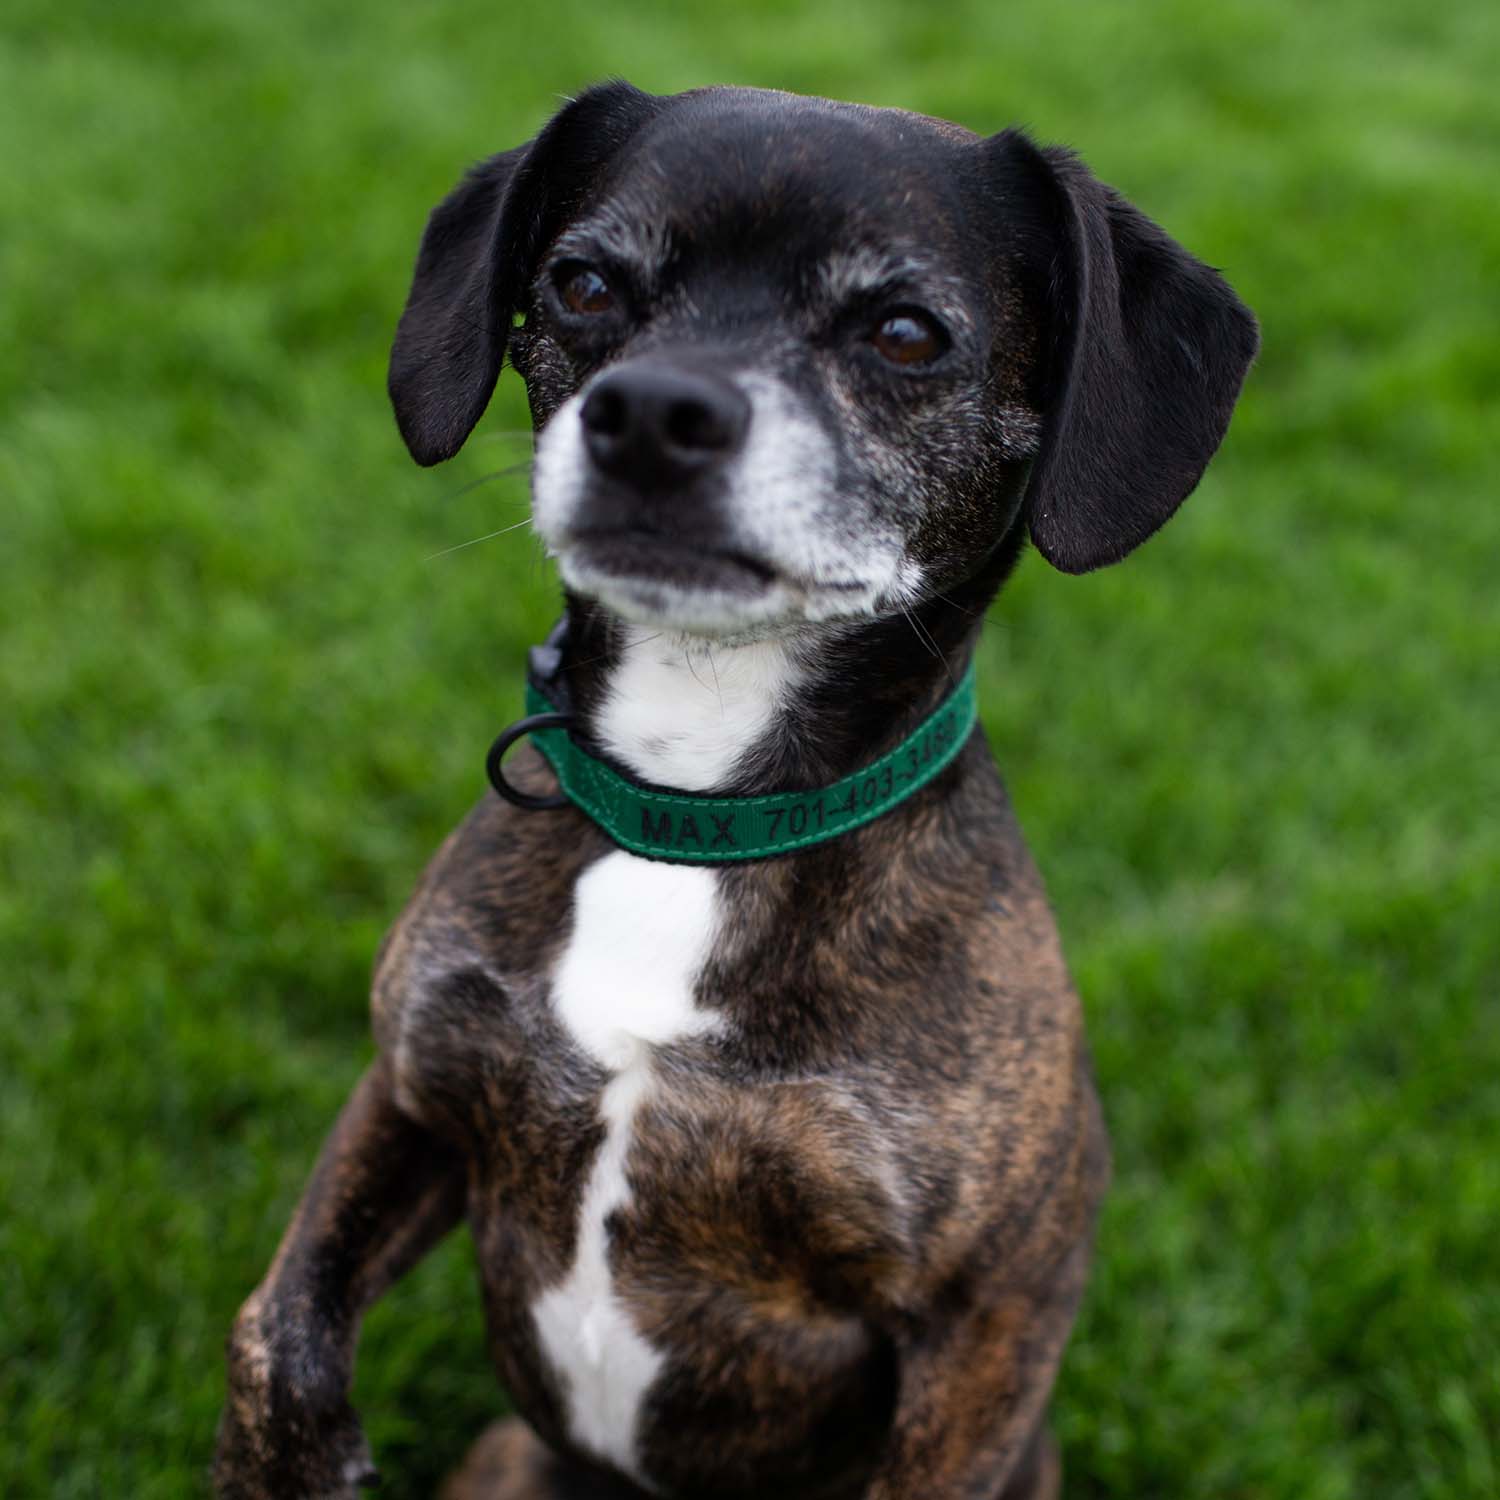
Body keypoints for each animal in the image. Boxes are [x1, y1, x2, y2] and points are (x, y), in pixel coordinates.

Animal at [217, 79, 1260, 1500]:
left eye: (905, 331)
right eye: (584, 284)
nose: (654, 412)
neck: (694, 811)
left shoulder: (990, 1312)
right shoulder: (412, 1092)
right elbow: (281, 1333)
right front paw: (293, 1459)